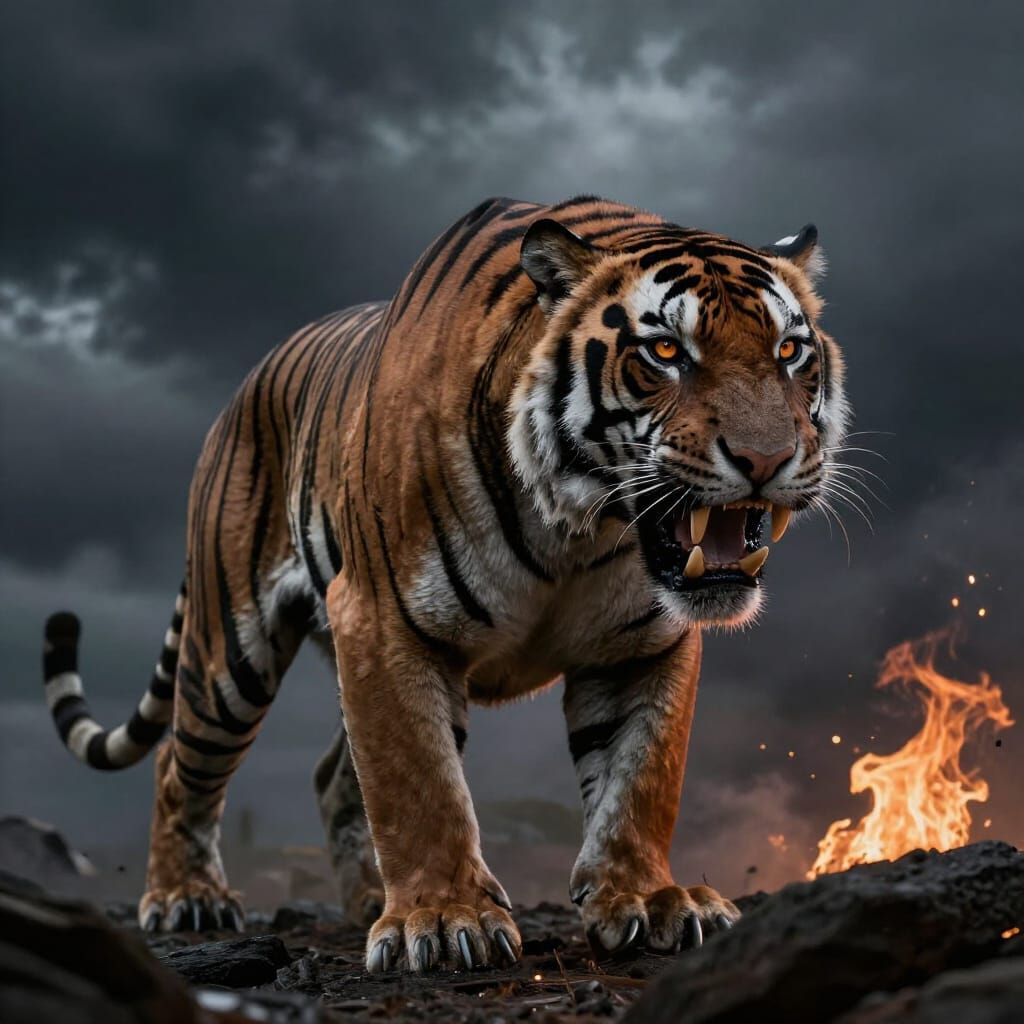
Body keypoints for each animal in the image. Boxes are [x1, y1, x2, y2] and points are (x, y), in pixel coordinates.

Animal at [42, 194, 848, 973]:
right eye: (666, 352)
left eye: (788, 351)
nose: (766, 459)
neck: (579, 528)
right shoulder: (383, 621)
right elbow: (417, 784)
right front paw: (440, 918)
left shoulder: (645, 645)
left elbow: (642, 778)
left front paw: (647, 899)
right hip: (229, 651)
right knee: (180, 767)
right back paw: (188, 899)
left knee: (332, 776)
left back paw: (368, 899)